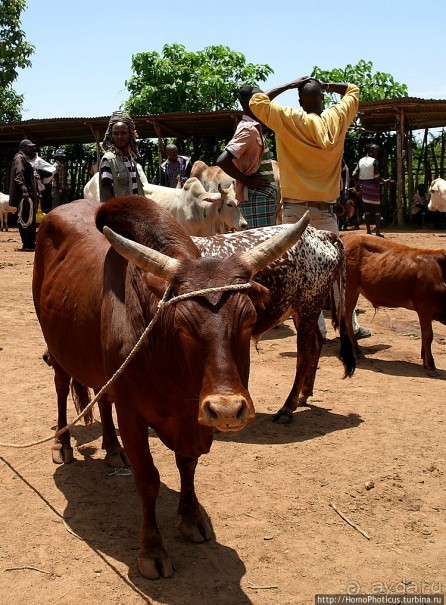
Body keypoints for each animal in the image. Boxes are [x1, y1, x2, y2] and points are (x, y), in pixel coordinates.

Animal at [33, 197, 308, 576]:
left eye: (250, 320)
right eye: (182, 326)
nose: (226, 410)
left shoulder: (190, 419)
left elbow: (187, 465)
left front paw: (191, 518)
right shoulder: (133, 415)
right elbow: (147, 480)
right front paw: (152, 550)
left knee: (102, 400)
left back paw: (112, 449)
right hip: (56, 348)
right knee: (61, 388)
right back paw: (62, 444)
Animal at [193, 224, 356, 422]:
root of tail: (320, 234)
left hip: (308, 306)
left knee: (303, 356)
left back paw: (287, 407)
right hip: (302, 311)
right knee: (316, 343)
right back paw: (305, 393)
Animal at [342, 230, 446, 376]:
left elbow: (424, 334)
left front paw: (425, 361)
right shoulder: (425, 307)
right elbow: (428, 335)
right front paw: (431, 366)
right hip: (349, 288)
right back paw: (355, 351)